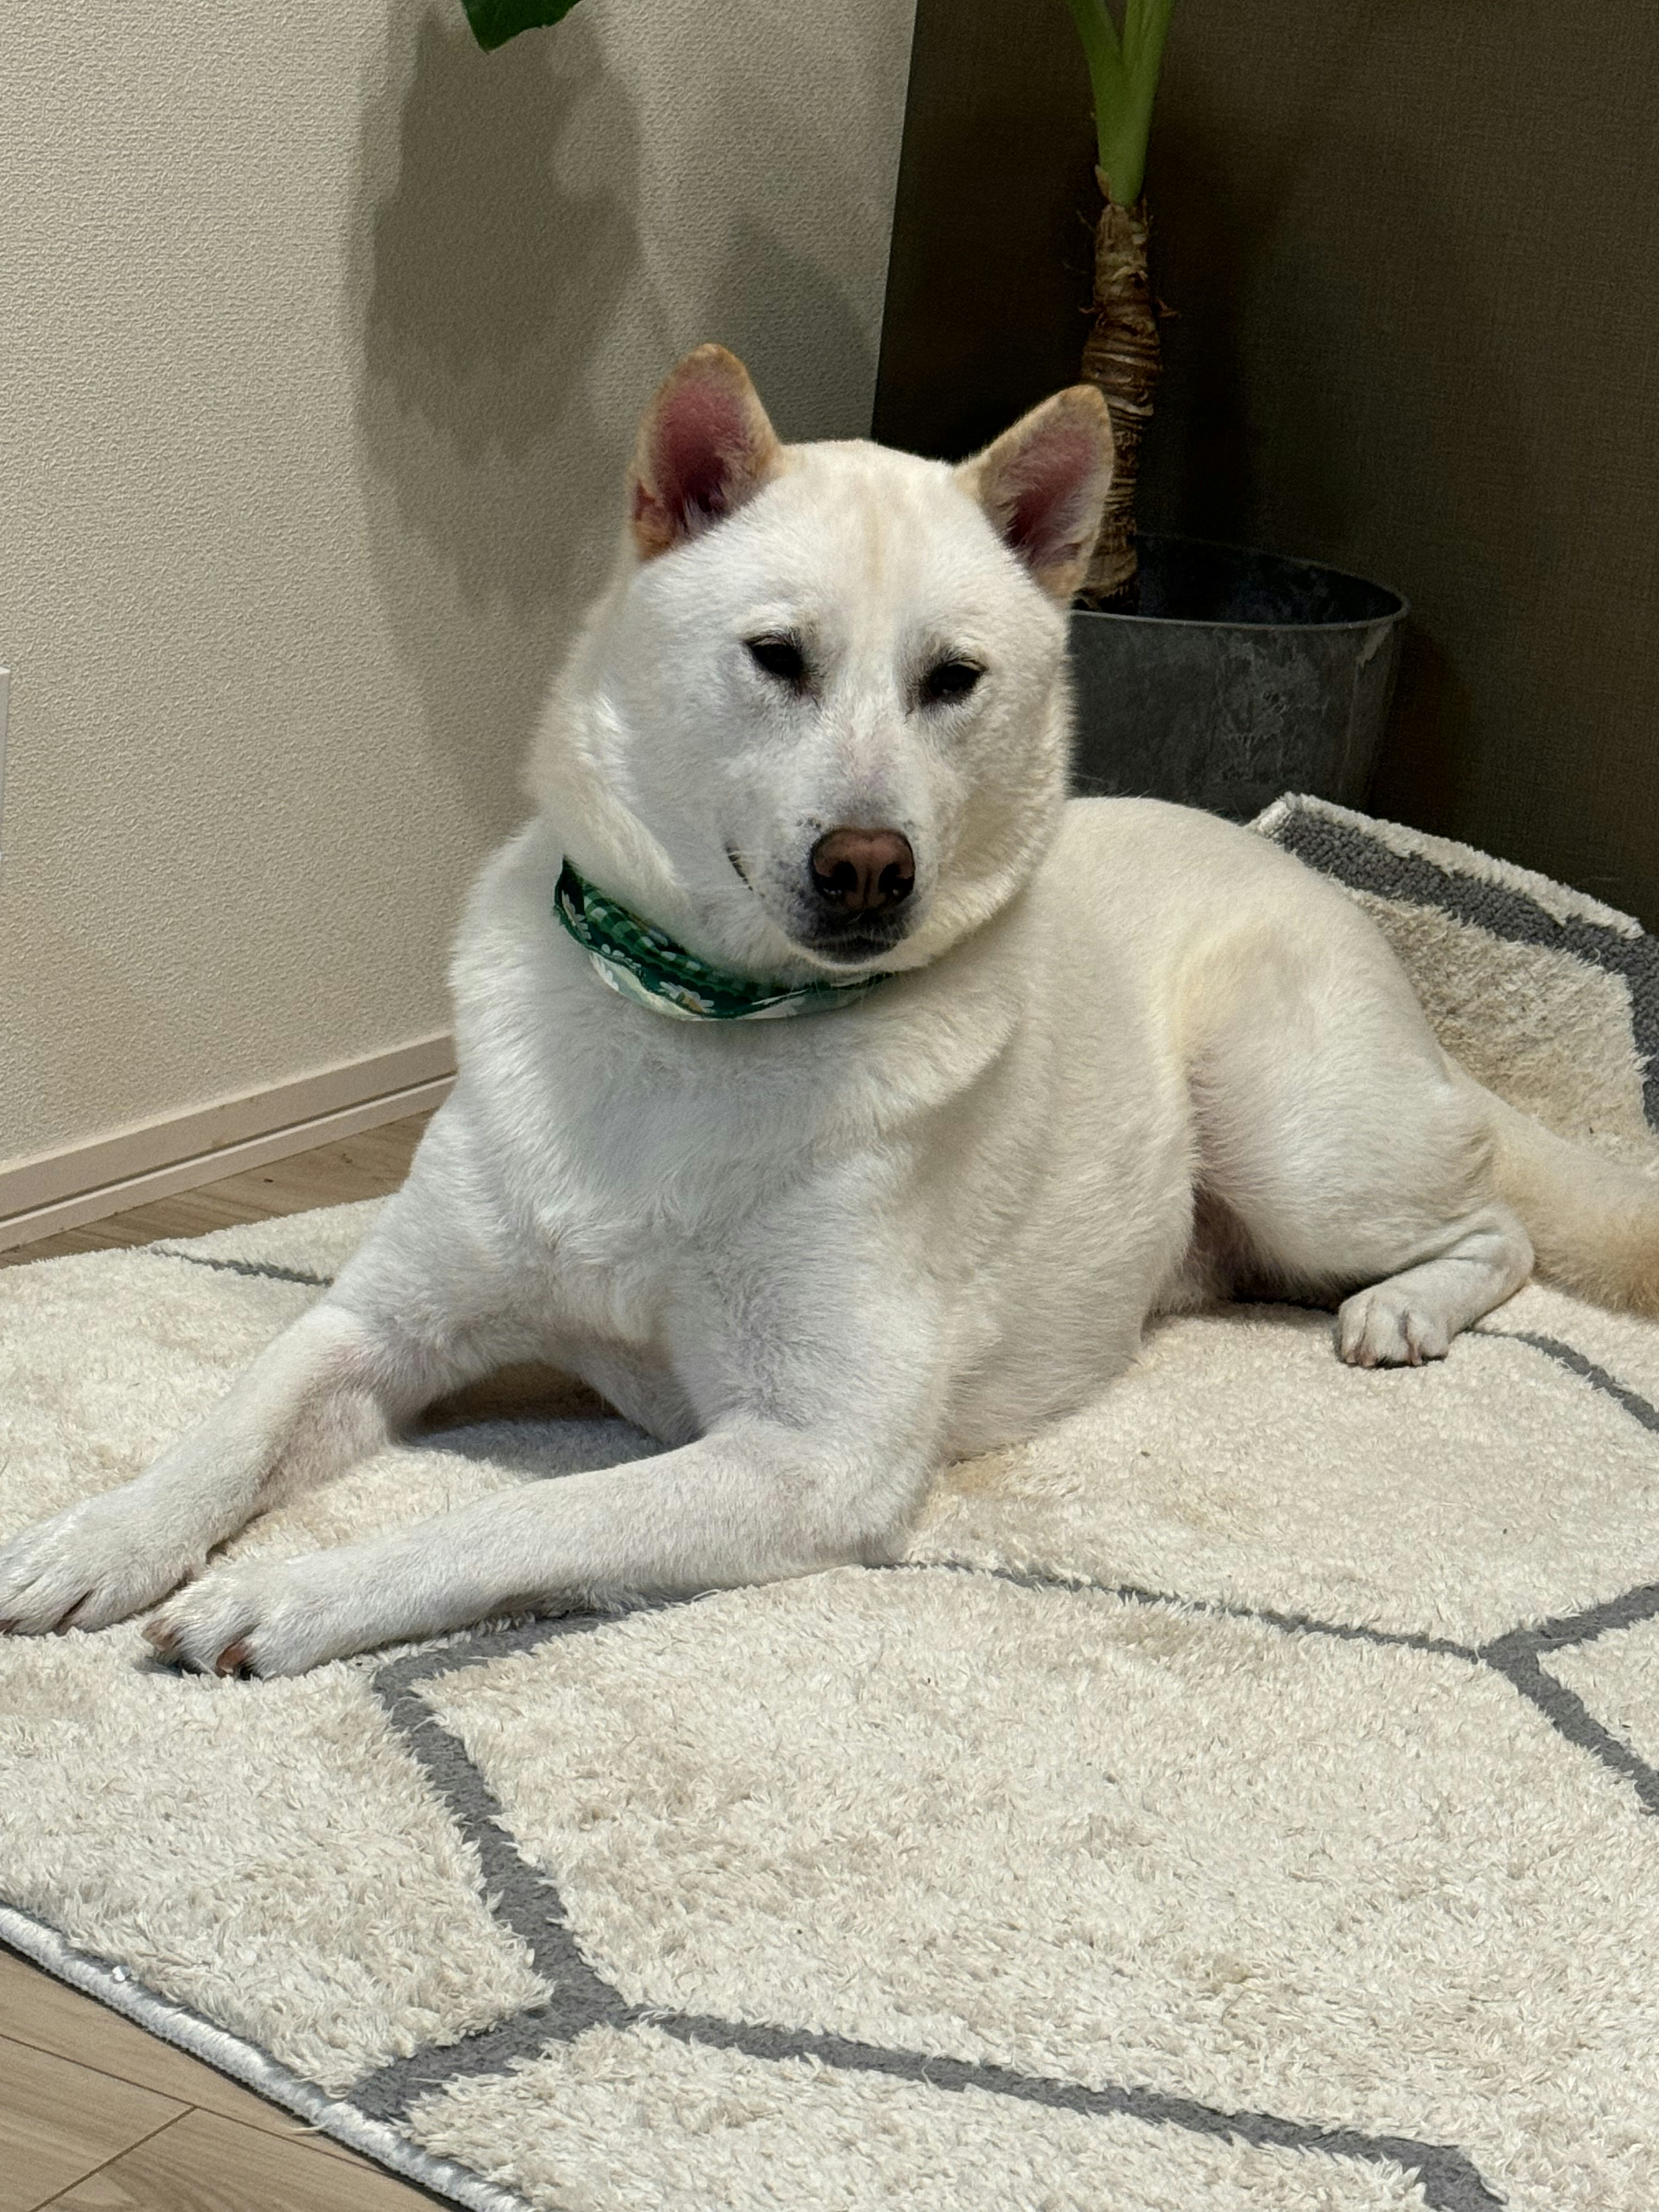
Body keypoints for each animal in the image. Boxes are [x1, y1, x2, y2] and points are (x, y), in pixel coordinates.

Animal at [6, 340, 1654, 1672]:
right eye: (776, 657)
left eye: (954, 679)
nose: (871, 869)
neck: (698, 1020)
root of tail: (1288, 857)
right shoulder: (380, 1323)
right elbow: (242, 1411)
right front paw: (105, 1533)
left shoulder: (812, 1453)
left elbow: (512, 1529)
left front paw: (291, 1597)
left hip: (1289, 1132)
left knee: (1492, 1224)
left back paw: (1403, 1308)